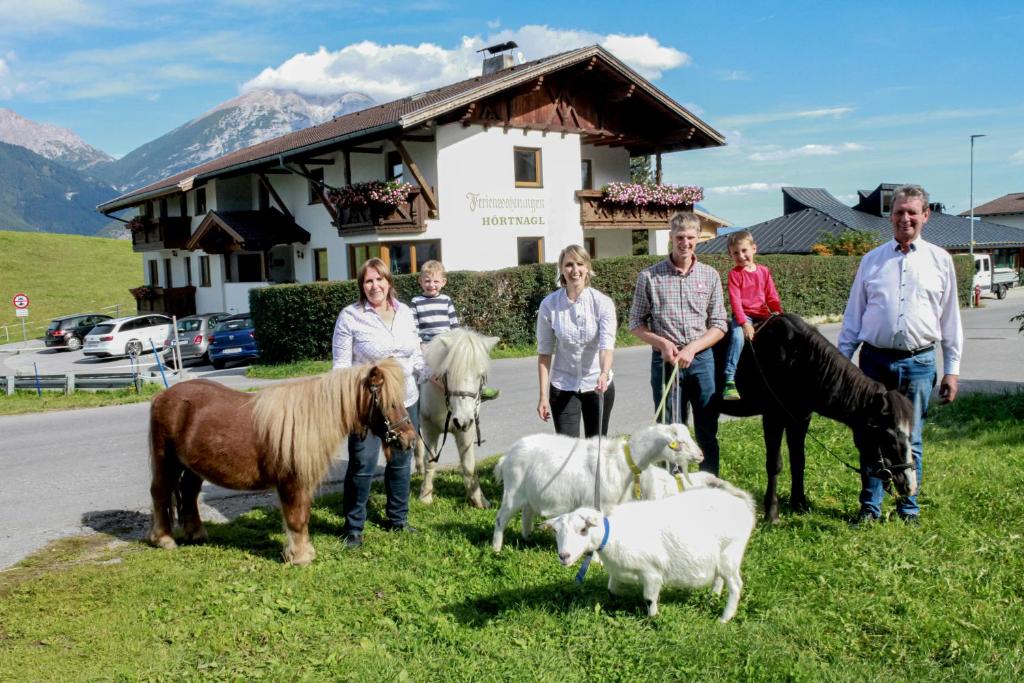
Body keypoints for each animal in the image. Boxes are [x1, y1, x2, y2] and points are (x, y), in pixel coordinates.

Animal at [145, 360, 415, 565]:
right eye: (390, 402)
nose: (409, 439)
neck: (309, 420)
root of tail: (162, 396)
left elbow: (303, 516)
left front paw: (303, 552)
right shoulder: (291, 482)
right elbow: (296, 518)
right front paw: (300, 557)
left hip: (193, 467)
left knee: (189, 493)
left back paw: (197, 534)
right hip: (166, 462)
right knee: (160, 493)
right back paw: (164, 539)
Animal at [413, 327, 497, 509]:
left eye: (480, 375)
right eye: (448, 373)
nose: (461, 420)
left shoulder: (467, 429)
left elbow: (469, 465)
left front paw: (479, 500)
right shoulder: (430, 428)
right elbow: (431, 460)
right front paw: (425, 497)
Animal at [489, 423, 700, 552]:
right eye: (680, 443)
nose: (701, 455)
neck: (623, 461)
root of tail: (506, 457)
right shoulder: (598, 504)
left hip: (529, 493)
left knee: (527, 513)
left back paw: (527, 538)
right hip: (513, 491)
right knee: (501, 519)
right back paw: (496, 549)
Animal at [540, 485, 757, 626]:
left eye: (583, 529)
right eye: (556, 531)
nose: (564, 556)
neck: (613, 534)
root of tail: (743, 505)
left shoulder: (652, 572)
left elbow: (649, 598)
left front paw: (652, 620)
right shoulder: (618, 571)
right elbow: (611, 589)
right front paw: (611, 603)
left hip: (731, 552)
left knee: (736, 585)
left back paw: (724, 618)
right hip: (719, 556)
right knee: (720, 578)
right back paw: (713, 598)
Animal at [716, 315, 917, 524]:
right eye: (888, 436)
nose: (910, 485)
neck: (798, 359)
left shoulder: (800, 419)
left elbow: (799, 460)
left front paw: (799, 504)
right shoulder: (773, 417)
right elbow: (774, 464)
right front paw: (772, 514)